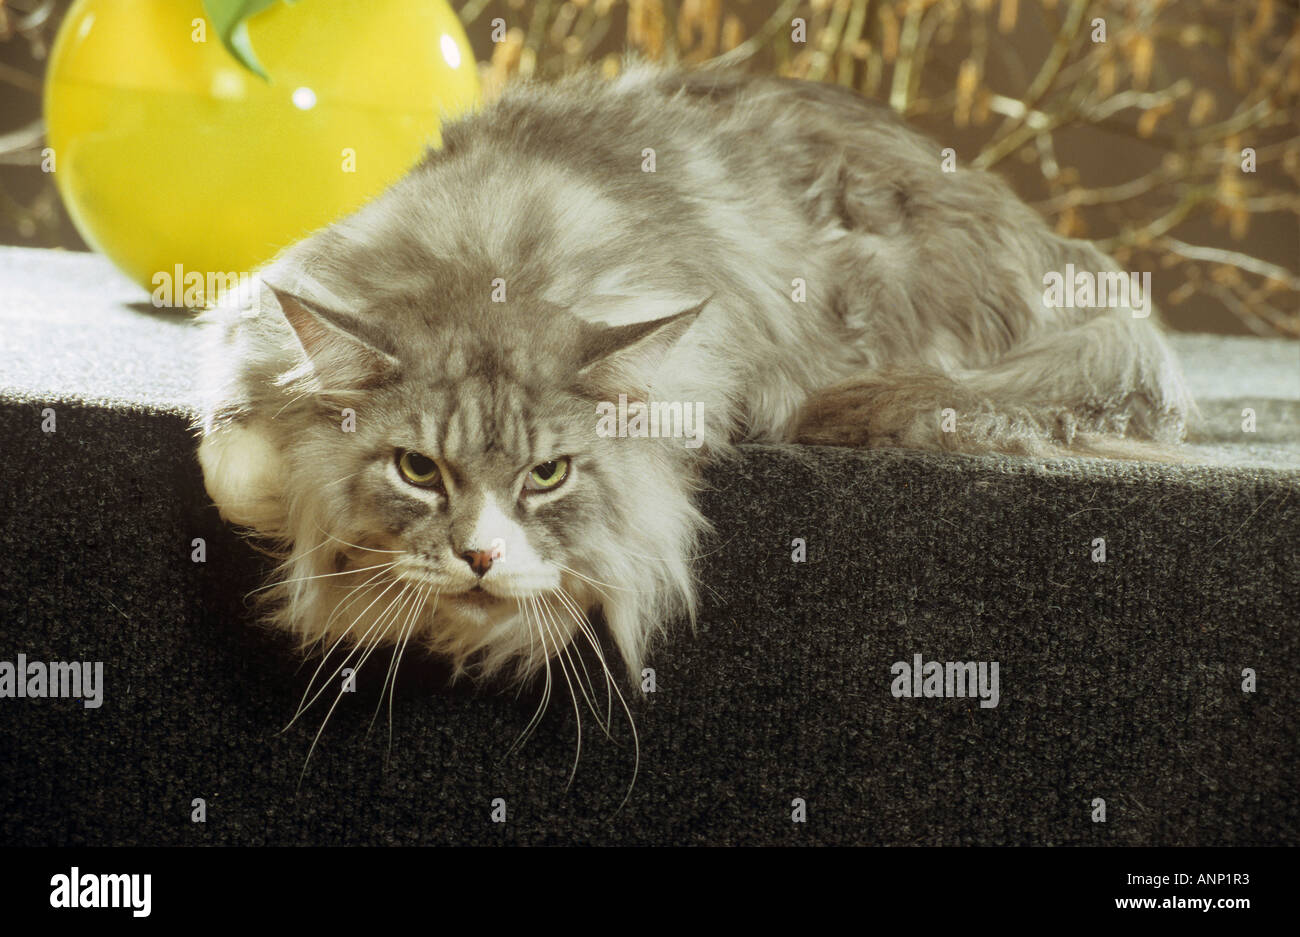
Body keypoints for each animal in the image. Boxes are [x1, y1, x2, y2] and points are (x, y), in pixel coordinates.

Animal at [197, 65, 1190, 722]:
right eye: (417, 469)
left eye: (549, 475)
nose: (480, 557)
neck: (490, 255)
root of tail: (1064, 250)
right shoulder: (253, 318)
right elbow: (241, 467)